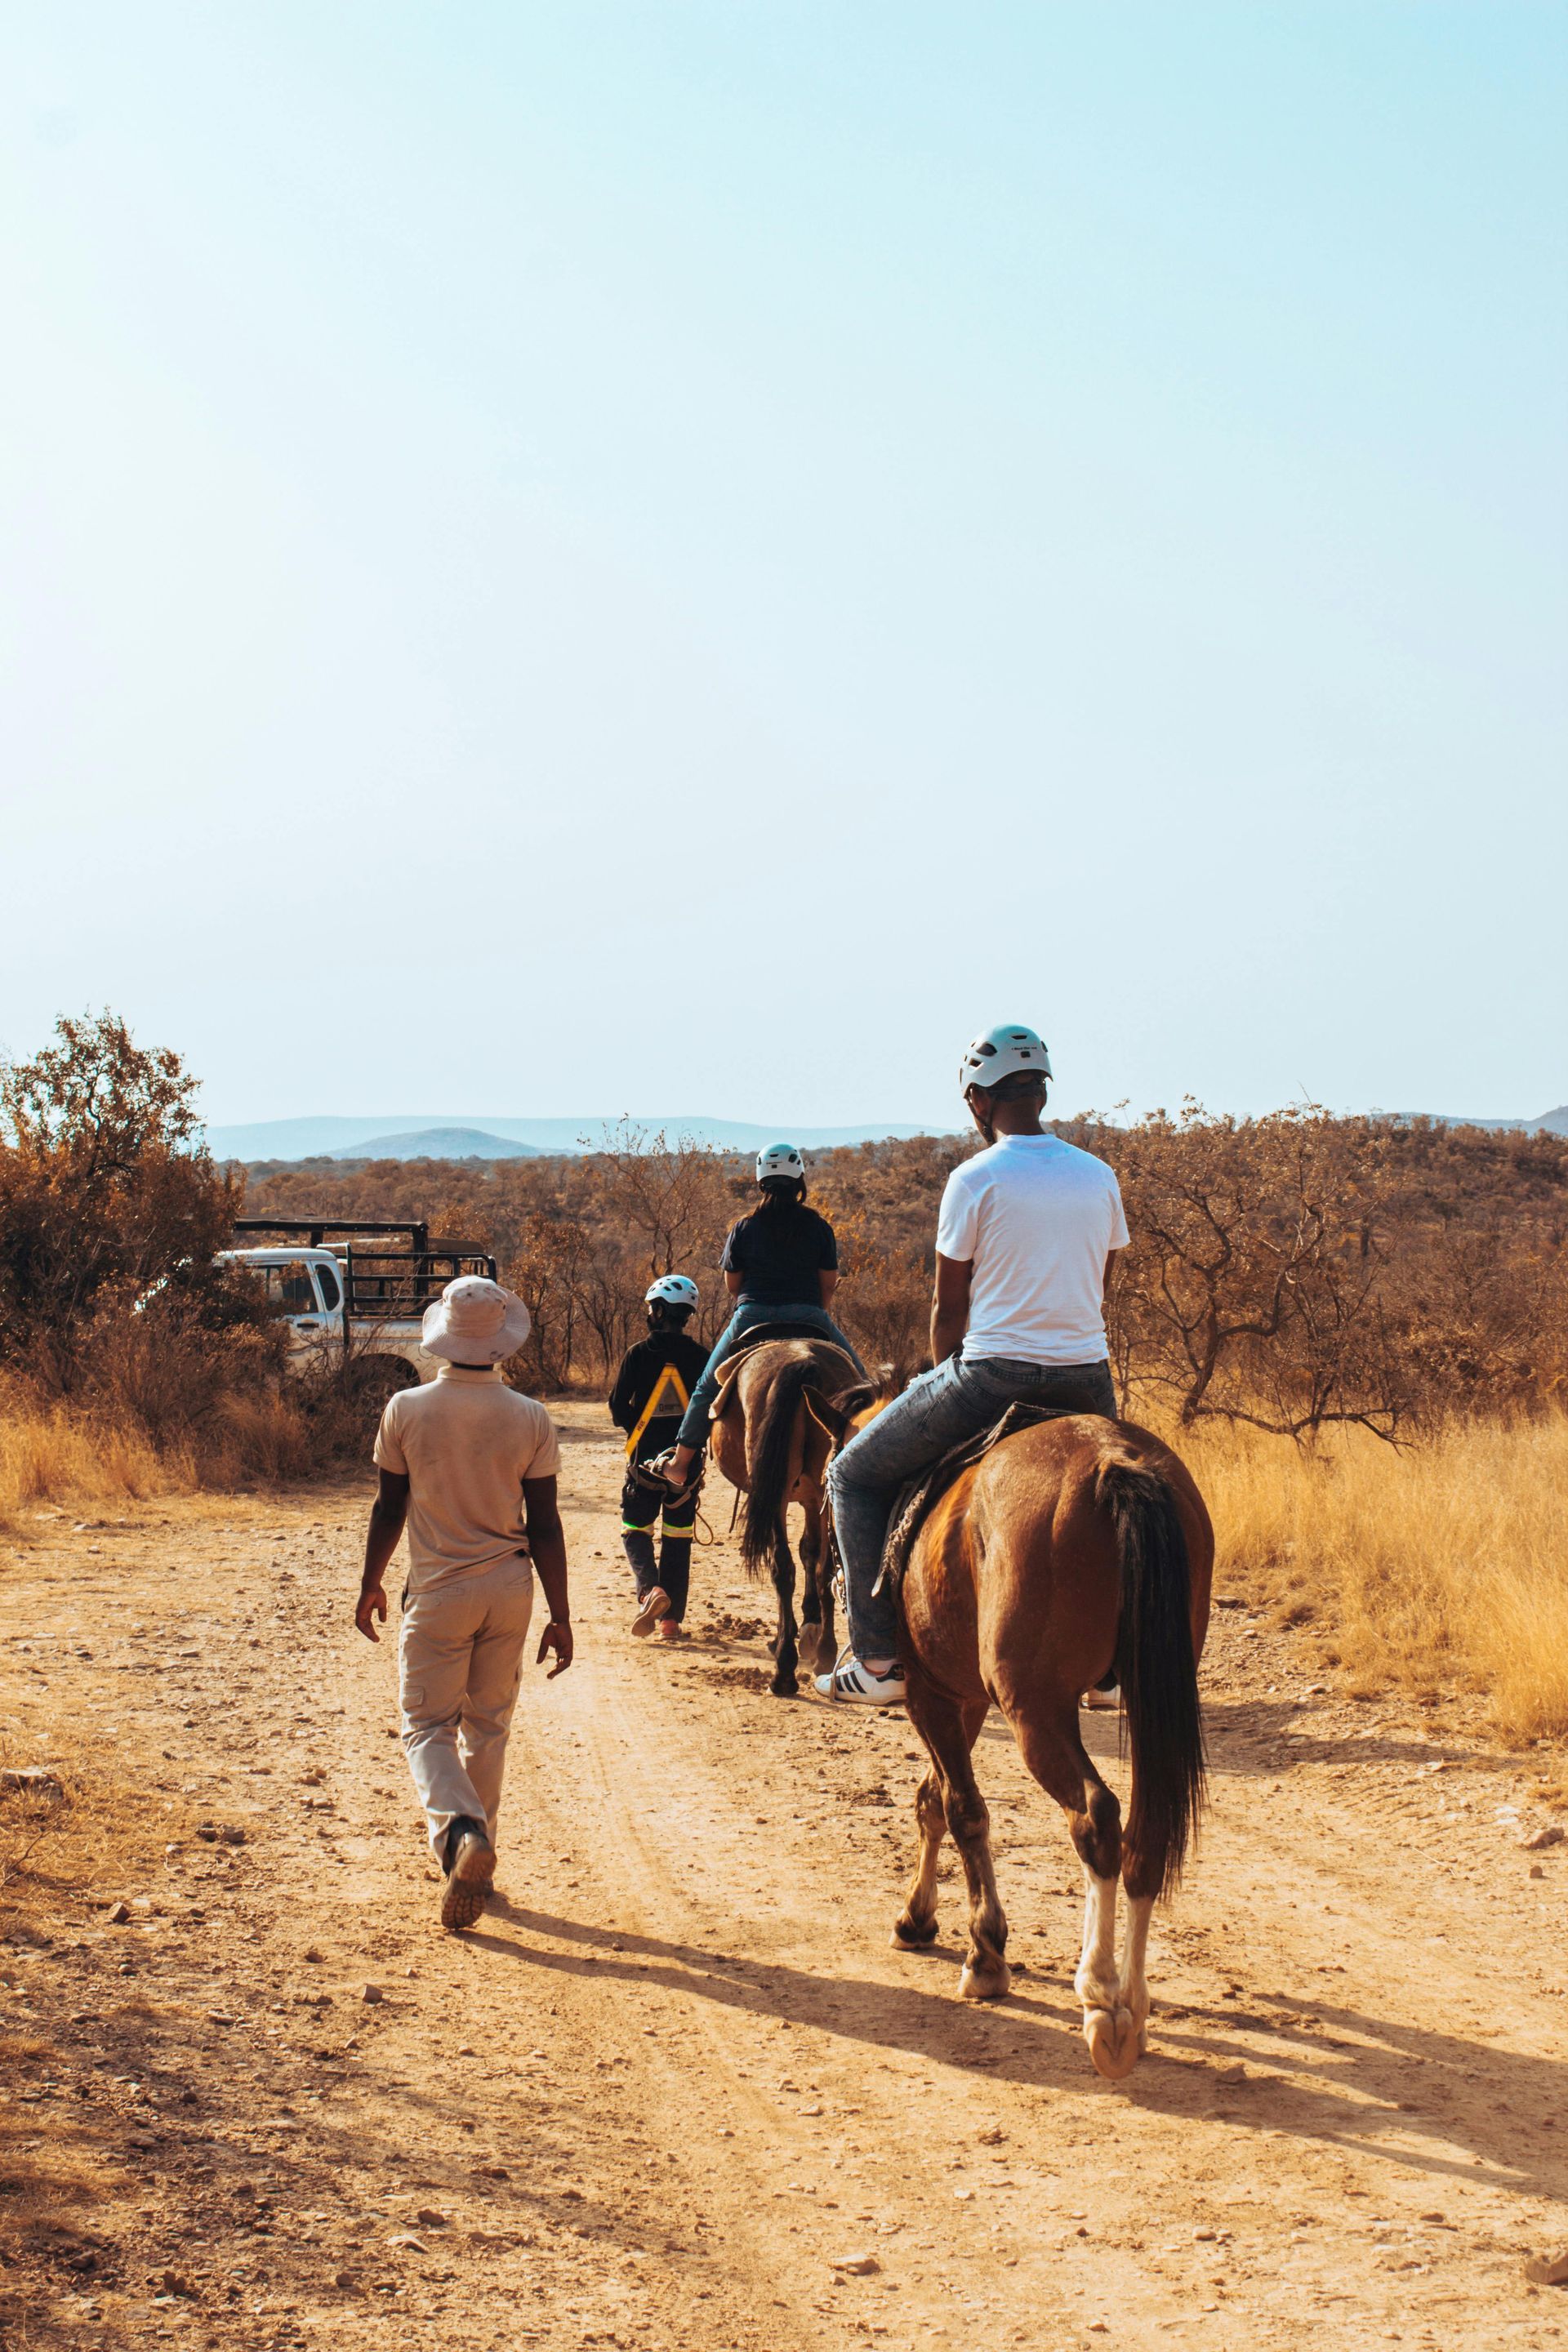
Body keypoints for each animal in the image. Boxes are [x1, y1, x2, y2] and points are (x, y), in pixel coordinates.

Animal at [710, 1345, 870, 1693]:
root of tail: (802, 1360)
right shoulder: (813, 1497)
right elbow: (812, 1555)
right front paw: (809, 1628)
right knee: (820, 1569)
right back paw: (822, 1653)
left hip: (779, 1492)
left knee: (782, 1567)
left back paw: (785, 1667)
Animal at [832, 1392, 1213, 2078]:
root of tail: (1114, 1462)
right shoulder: (966, 1698)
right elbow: (931, 1801)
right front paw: (917, 1917)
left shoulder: (932, 1693)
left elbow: (961, 1809)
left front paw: (985, 1954)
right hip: (1148, 1696)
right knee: (1143, 1835)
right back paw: (1133, 2005)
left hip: (1035, 1708)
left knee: (1094, 1817)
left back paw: (1101, 1998)